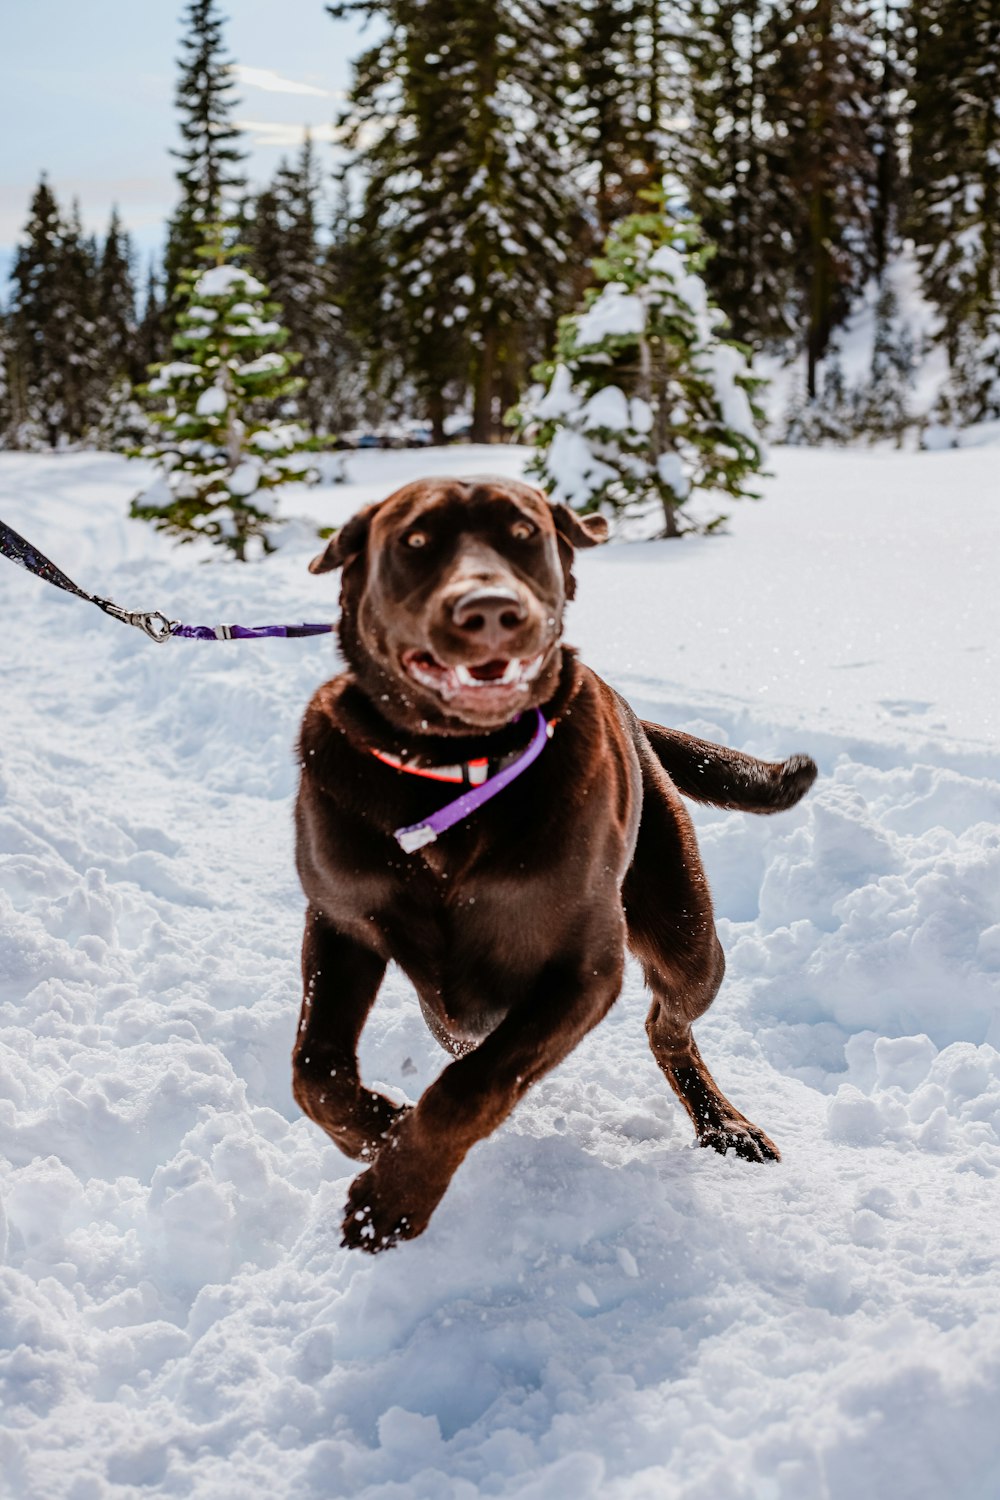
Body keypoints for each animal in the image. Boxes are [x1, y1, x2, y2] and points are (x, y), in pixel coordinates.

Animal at [293, 474, 815, 1248]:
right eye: (415, 540)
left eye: (523, 534)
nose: (489, 610)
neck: (454, 775)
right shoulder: (340, 922)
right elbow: (315, 1071)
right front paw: (380, 1130)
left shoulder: (583, 969)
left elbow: (470, 1087)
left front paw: (394, 1197)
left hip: (688, 935)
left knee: (666, 1025)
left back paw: (725, 1124)